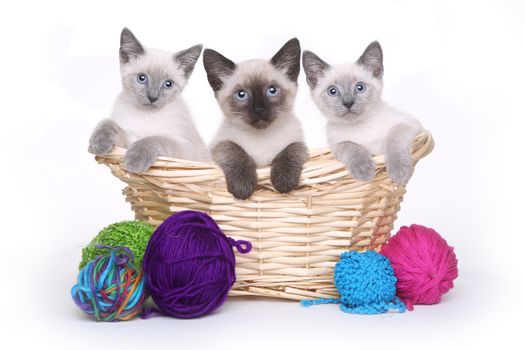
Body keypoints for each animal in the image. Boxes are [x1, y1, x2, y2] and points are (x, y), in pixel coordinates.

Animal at [87, 26, 208, 172]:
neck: (146, 115)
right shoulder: (127, 140)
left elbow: (154, 139)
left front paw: (135, 161)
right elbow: (107, 122)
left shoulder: (184, 149)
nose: (152, 97)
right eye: (142, 78)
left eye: (168, 84)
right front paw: (97, 144)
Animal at [201, 38, 308, 200]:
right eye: (241, 94)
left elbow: (291, 150)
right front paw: (242, 186)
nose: (259, 109)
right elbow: (233, 149)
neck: (261, 137)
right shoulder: (217, 147)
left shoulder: (300, 144)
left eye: (272, 90)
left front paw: (283, 181)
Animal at [302, 41, 422, 186]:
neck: (359, 125)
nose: (348, 103)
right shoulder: (335, 145)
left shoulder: (408, 123)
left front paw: (399, 171)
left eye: (360, 87)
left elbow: (394, 137)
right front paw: (364, 170)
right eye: (333, 91)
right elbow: (350, 145)